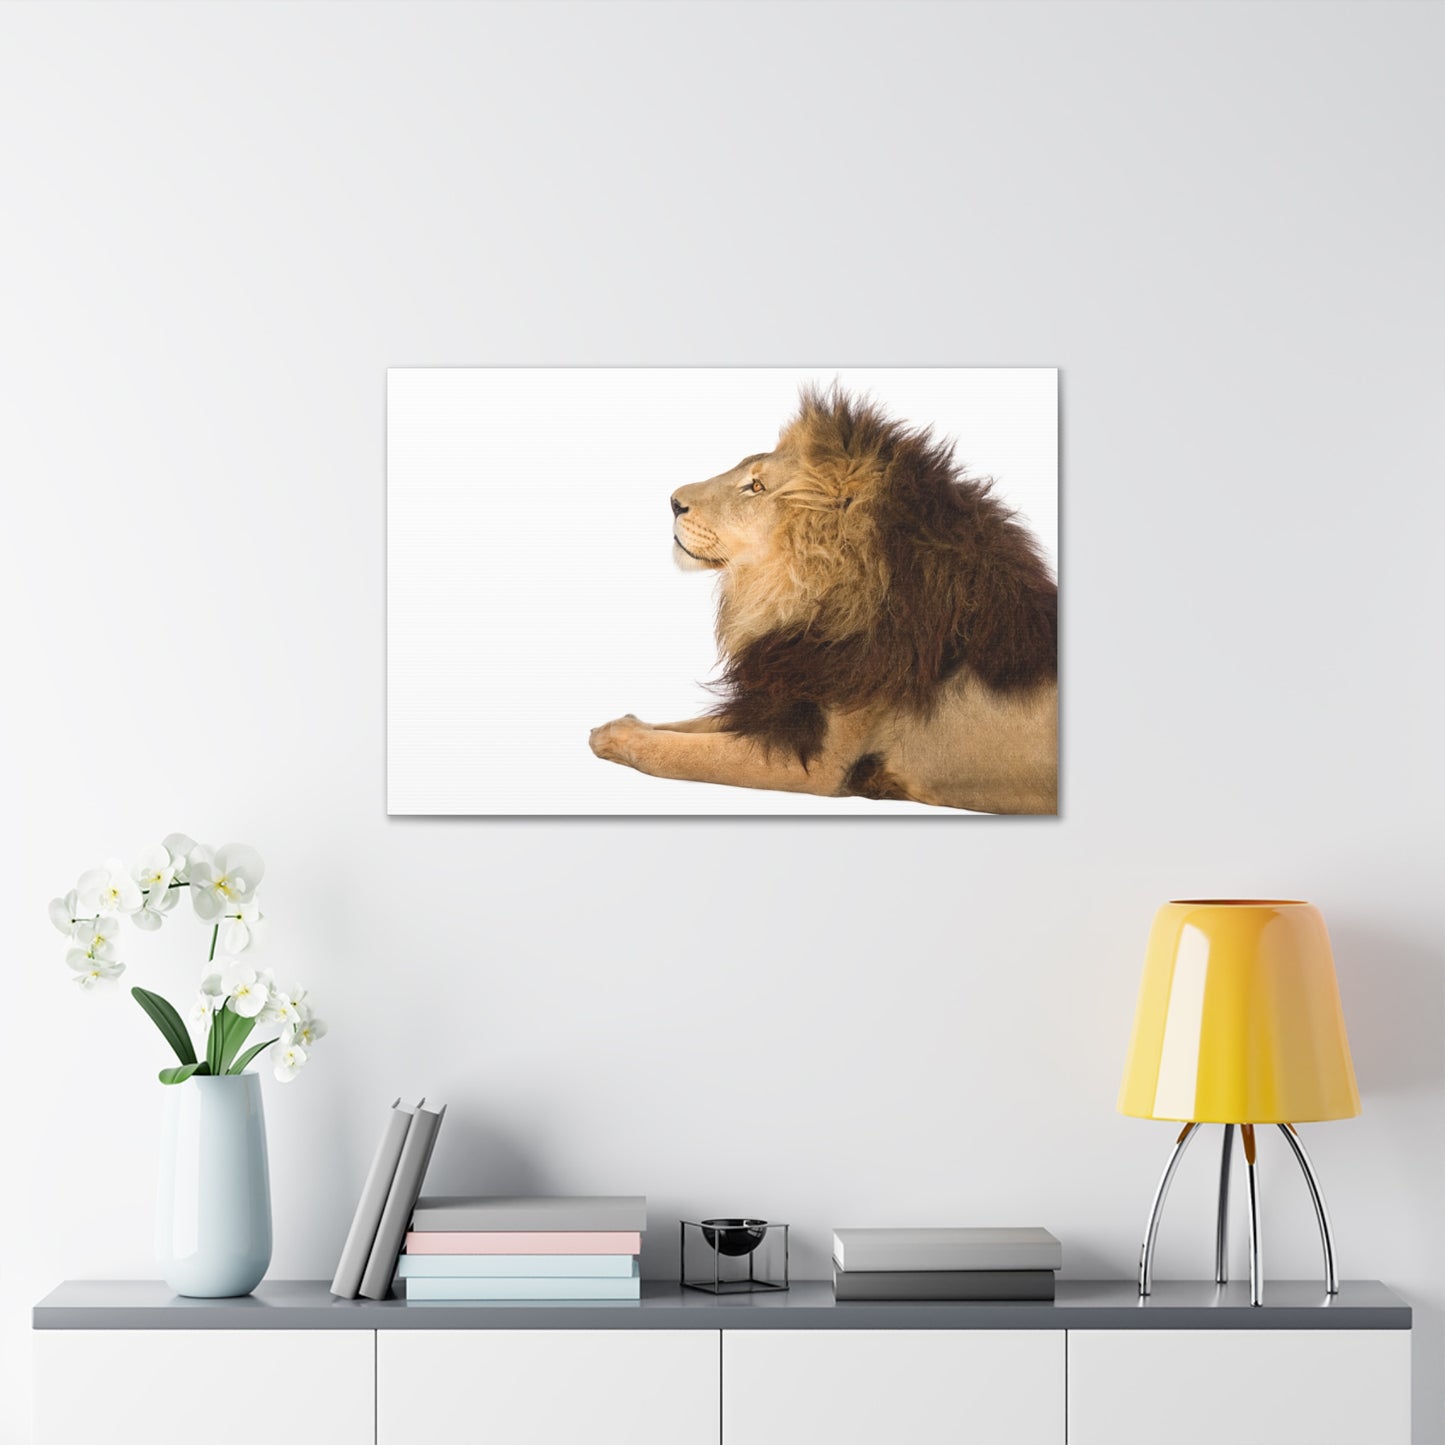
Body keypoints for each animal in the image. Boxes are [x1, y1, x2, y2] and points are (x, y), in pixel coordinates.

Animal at [589, 386, 1058, 813]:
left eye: (755, 486)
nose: (673, 502)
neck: (802, 601)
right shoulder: (786, 696)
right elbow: (692, 725)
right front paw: (620, 725)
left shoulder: (815, 765)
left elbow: (683, 754)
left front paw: (619, 737)